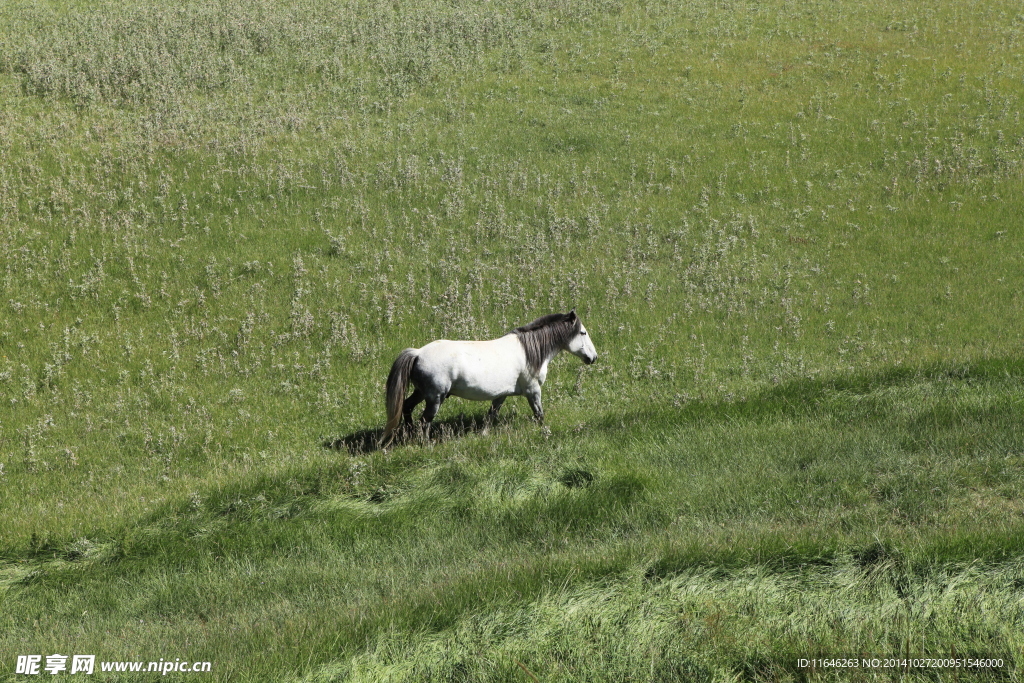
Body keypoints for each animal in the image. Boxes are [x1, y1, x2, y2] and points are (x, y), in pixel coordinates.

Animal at [383, 310, 597, 443]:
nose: (593, 358)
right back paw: (425, 442)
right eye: (583, 332)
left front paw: (484, 434)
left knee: (407, 407)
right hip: (435, 398)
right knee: (425, 420)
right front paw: (544, 433)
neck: (529, 351)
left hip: (421, 393)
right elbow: (539, 414)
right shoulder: (533, 390)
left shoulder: (501, 394)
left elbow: (491, 415)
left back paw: (409, 433)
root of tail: (417, 353)